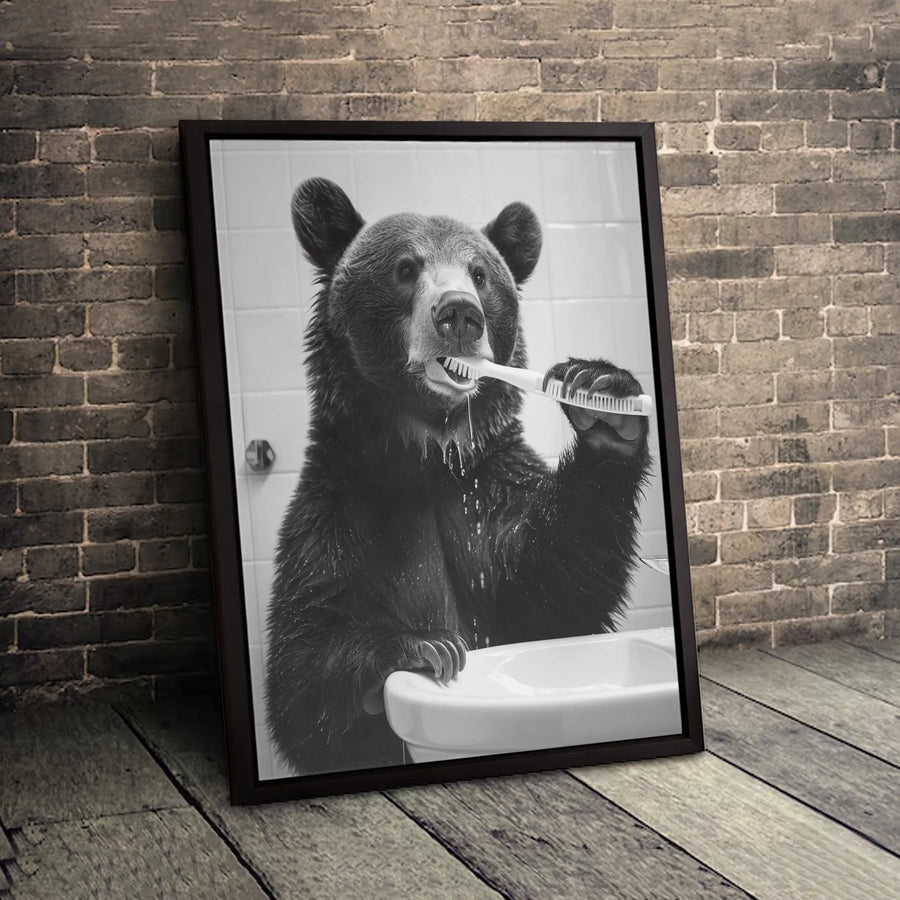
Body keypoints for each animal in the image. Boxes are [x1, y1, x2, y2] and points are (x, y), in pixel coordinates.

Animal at [265, 177, 651, 776]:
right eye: (405, 268)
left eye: (480, 273)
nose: (460, 315)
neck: (428, 458)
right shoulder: (340, 513)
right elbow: (302, 669)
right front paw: (425, 646)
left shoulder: (488, 495)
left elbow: (553, 590)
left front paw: (602, 397)